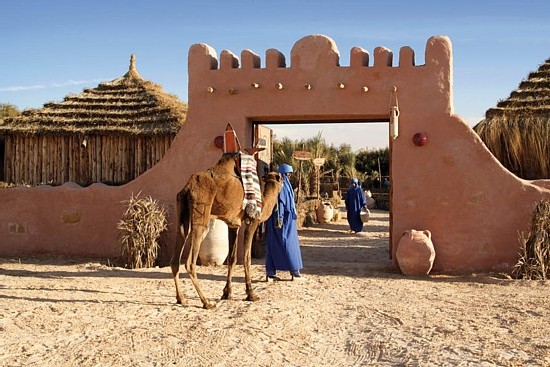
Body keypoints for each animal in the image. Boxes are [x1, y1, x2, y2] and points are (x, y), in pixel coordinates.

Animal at [171, 151, 284, 310]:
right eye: (282, 178)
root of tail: (187, 187)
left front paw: (227, 293)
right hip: (201, 213)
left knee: (177, 253)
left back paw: (181, 299)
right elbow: (247, 257)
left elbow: (232, 258)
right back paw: (206, 302)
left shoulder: (233, 225)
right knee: (190, 263)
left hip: (182, 211)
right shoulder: (252, 221)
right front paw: (251, 295)